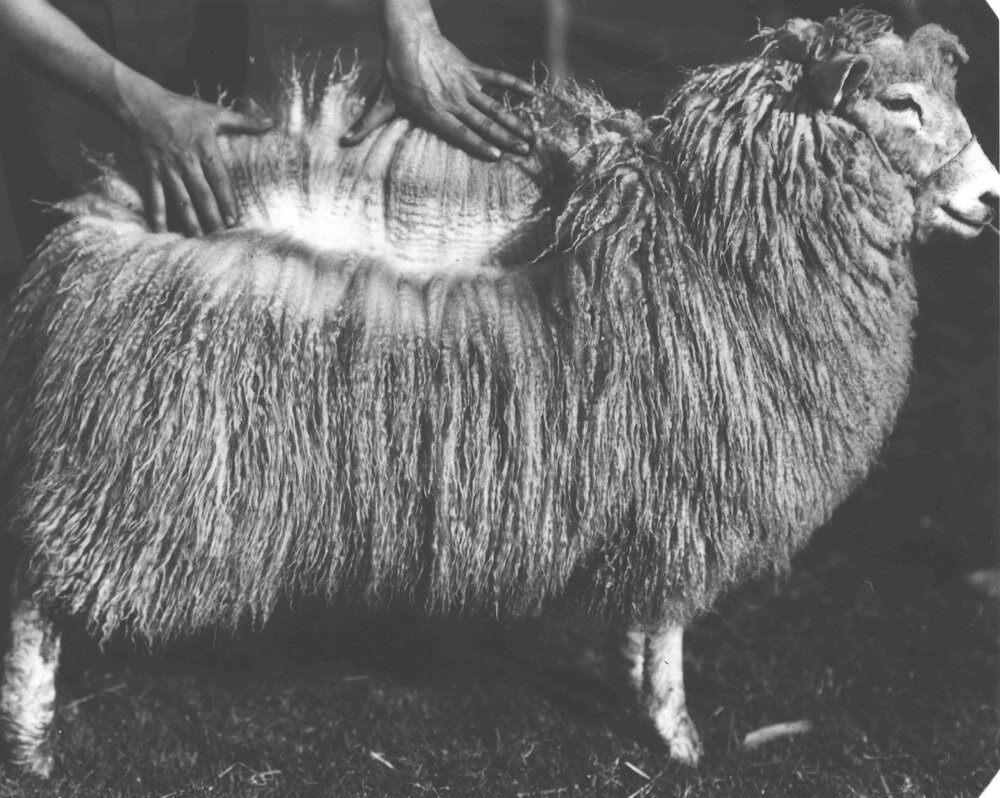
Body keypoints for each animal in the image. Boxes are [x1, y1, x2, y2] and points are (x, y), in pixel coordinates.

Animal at [2, 9, 997, 776]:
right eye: (898, 104)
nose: (991, 196)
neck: (715, 233)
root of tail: (113, 211)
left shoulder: (656, 485)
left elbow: (644, 620)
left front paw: (639, 693)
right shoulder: (687, 483)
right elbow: (671, 621)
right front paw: (678, 740)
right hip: (127, 471)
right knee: (34, 598)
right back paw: (30, 740)